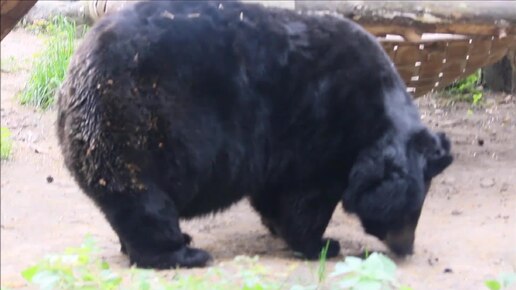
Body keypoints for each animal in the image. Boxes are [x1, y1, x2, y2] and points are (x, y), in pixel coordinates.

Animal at [56, 0, 452, 270]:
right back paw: (183, 252)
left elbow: (275, 193)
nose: (407, 247)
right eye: (413, 208)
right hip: (138, 119)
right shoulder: (322, 121)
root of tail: (76, 70)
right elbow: (306, 197)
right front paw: (323, 243)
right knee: (141, 196)